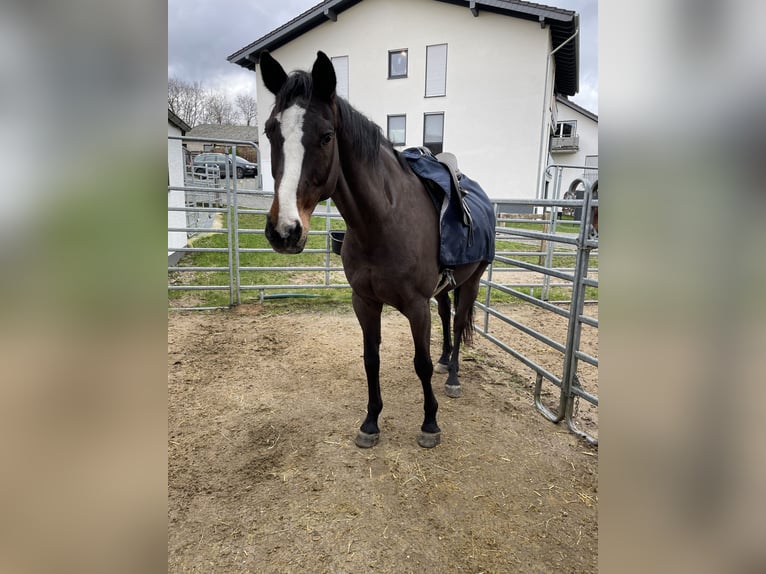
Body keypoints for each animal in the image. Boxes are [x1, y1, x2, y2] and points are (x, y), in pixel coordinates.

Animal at [260, 50, 496, 450]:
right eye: (269, 131)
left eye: (326, 137)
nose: (284, 231)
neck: (382, 223)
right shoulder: (365, 301)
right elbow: (371, 359)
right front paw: (371, 422)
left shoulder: (416, 306)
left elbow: (421, 363)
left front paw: (429, 424)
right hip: (444, 288)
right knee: (447, 316)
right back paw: (446, 360)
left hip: (472, 282)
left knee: (459, 319)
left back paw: (453, 377)